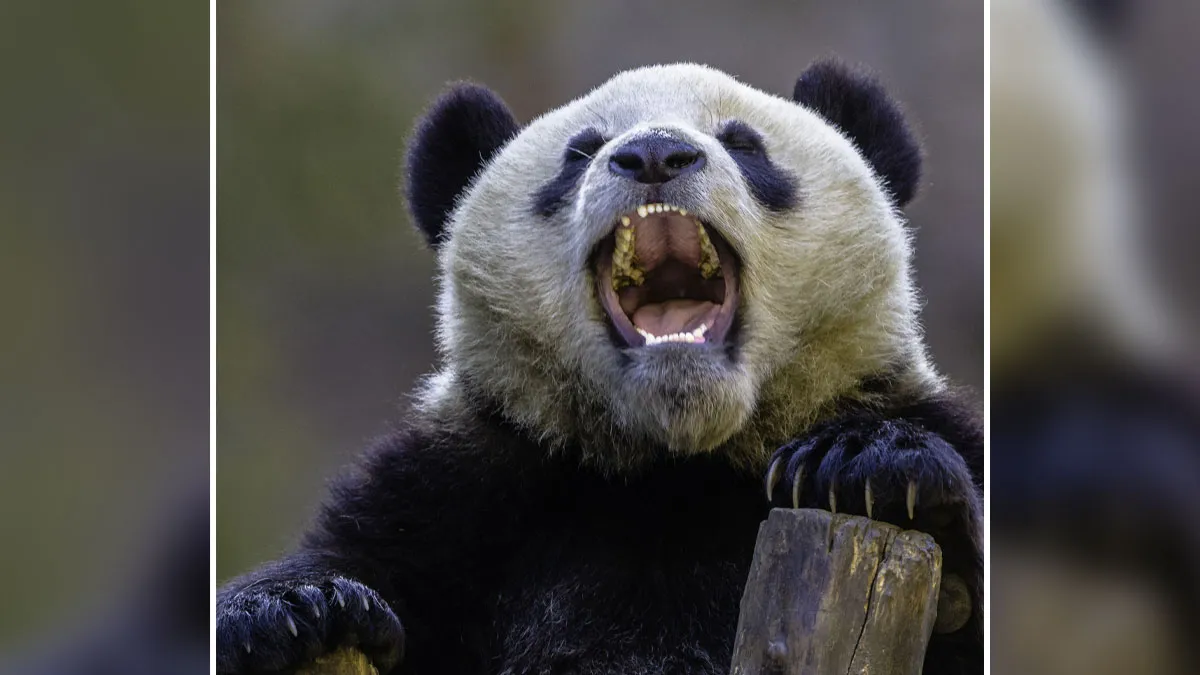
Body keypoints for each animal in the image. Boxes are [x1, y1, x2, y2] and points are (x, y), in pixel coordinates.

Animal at [217, 60, 983, 675]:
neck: (674, 462)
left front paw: (865, 466)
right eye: (579, 152)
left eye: (745, 143)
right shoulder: (468, 487)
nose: (654, 153)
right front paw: (296, 608)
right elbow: (366, 556)